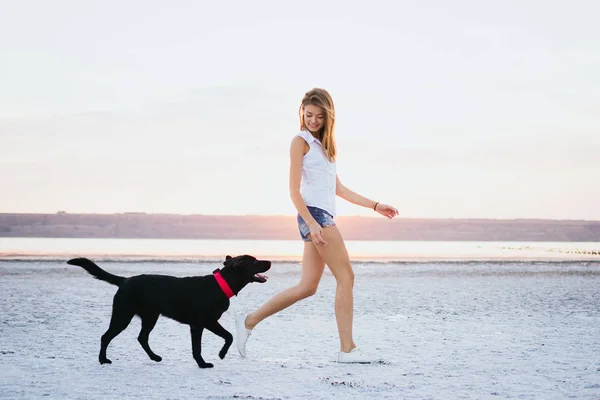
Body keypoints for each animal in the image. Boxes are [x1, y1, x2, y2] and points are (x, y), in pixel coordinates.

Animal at [67, 255, 270, 368]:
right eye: (254, 261)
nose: (269, 261)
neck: (220, 285)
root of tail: (124, 280)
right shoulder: (198, 324)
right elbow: (197, 347)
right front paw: (202, 364)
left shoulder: (210, 321)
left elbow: (229, 336)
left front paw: (221, 354)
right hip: (122, 315)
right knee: (106, 336)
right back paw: (103, 360)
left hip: (150, 317)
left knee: (142, 338)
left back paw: (155, 357)